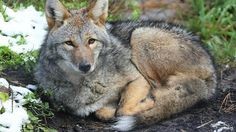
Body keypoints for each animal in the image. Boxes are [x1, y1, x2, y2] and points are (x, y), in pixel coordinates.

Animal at [34, 0, 217, 130]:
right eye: (69, 43)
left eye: (91, 41)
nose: (85, 66)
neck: (84, 85)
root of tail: (212, 71)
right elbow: (103, 112)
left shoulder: (138, 79)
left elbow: (122, 109)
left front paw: (147, 103)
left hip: (139, 35)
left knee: (163, 91)